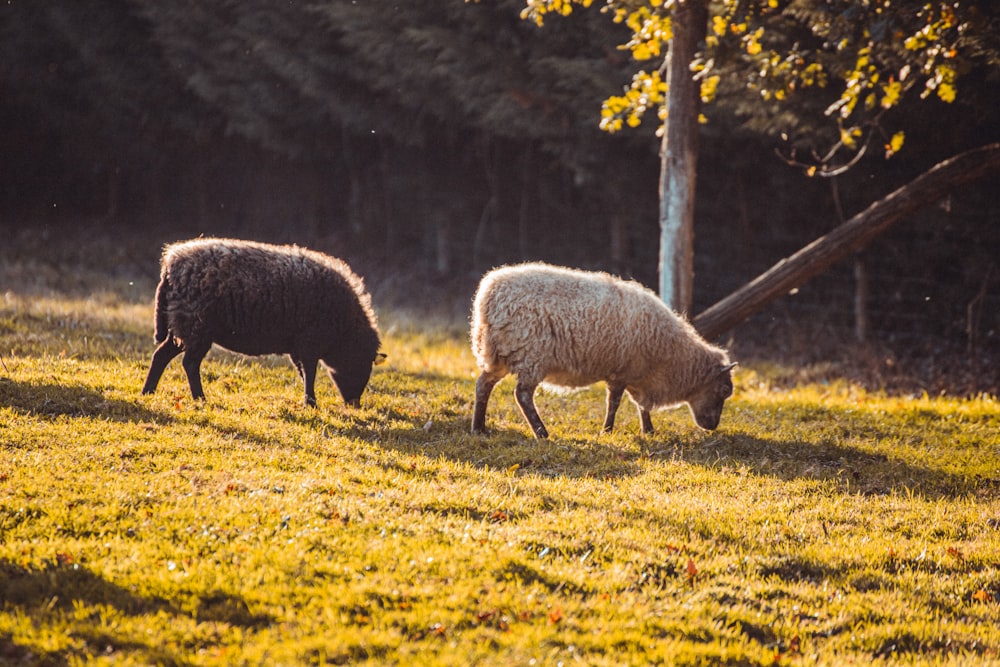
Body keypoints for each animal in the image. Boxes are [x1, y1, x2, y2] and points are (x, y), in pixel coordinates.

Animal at [143, 239, 384, 408]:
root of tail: (170, 265)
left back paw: (148, 392)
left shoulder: (298, 346)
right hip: (196, 327)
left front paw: (309, 401)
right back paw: (200, 399)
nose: (354, 404)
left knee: (160, 355)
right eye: (362, 361)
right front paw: (311, 403)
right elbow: (310, 372)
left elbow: (303, 372)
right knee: (189, 364)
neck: (345, 327)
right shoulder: (309, 343)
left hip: (181, 326)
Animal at [468, 264, 736, 440]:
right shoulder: (623, 372)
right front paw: (607, 430)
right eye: (724, 390)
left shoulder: (637, 374)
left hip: (500, 354)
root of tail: (490, 294)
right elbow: (614, 403)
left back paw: (479, 428)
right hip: (531, 356)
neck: (673, 355)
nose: (712, 427)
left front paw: (648, 430)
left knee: (483, 385)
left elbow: (641, 406)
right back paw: (542, 433)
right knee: (522, 395)